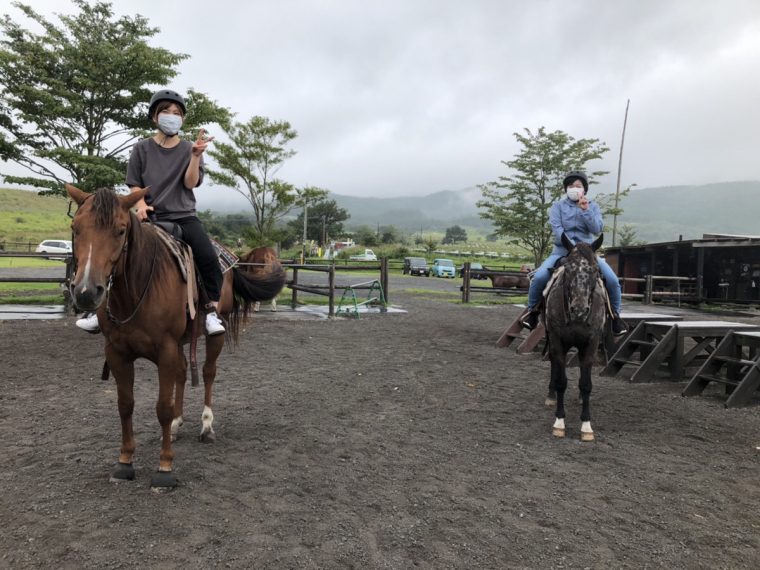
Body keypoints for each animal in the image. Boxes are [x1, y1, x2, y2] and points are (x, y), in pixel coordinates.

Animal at [64, 184, 284, 486]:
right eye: (75, 228)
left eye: (120, 231)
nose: (86, 292)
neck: (135, 292)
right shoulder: (117, 353)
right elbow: (125, 405)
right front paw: (125, 462)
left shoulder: (165, 350)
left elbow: (162, 408)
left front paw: (164, 468)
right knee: (182, 373)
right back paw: (178, 425)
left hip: (213, 335)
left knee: (208, 373)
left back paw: (206, 426)